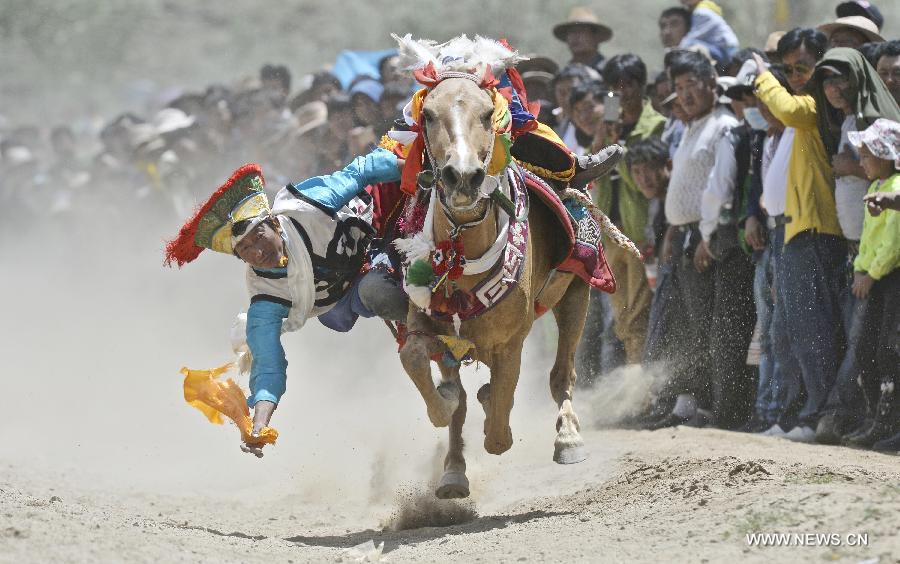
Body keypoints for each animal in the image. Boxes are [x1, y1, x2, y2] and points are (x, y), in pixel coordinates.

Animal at [400, 74, 596, 498]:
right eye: (429, 115)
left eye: (488, 113)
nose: (462, 176)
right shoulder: (426, 325)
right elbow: (419, 365)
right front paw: (447, 414)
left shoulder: (510, 342)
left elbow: (500, 424)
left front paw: (494, 415)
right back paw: (454, 466)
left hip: (576, 293)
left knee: (562, 373)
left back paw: (569, 439)